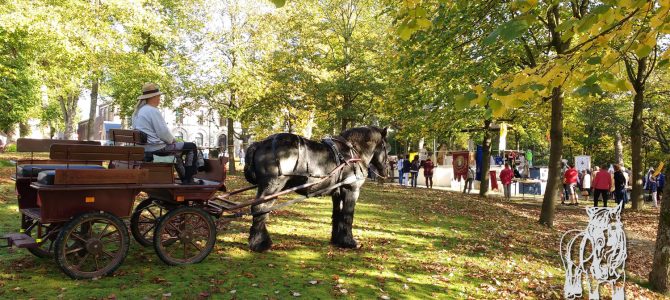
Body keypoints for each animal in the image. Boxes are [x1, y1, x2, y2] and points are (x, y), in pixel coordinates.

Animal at [243, 125, 388, 252]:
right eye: (386, 148)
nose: (385, 172)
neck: (352, 153)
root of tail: (260, 143)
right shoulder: (351, 189)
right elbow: (347, 215)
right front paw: (349, 242)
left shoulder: (337, 193)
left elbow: (337, 214)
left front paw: (337, 240)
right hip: (272, 187)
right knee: (260, 209)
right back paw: (260, 243)